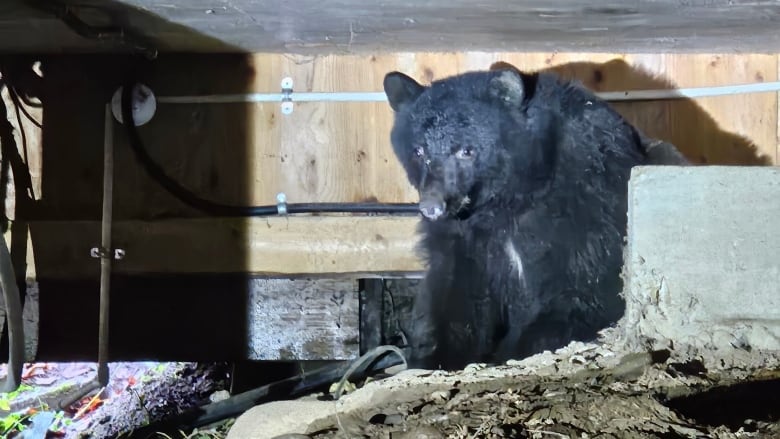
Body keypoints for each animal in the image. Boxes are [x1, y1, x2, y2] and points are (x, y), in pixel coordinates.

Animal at [384, 69, 672, 372]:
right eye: (419, 151)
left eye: (466, 150)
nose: (432, 206)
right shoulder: (463, 236)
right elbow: (457, 291)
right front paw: (438, 356)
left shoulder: (586, 199)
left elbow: (582, 283)